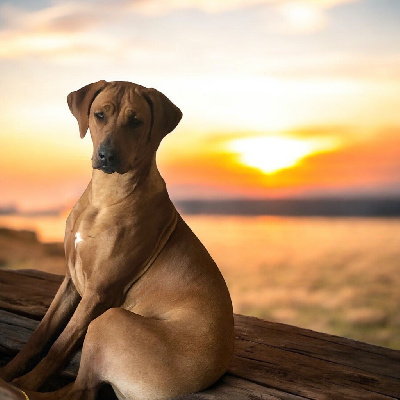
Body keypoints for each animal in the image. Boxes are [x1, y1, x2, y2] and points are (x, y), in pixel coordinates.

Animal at [0, 81, 234, 400]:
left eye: (136, 121)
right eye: (99, 115)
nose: (107, 156)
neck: (105, 195)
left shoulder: (100, 292)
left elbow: (60, 346)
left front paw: (24, 381)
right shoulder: (71, 281)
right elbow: (42, 334)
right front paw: (8, 371)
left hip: (111, 321)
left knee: (79, 391)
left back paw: (19, 390)